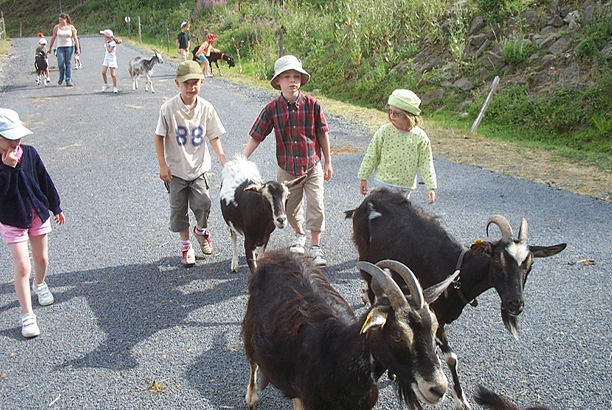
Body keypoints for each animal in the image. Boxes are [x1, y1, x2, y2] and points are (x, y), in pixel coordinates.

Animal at [241, 250, 456, 410]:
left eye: (434, 329)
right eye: (397, 334)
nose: (439, 388)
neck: (338, 356)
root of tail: (276, 253)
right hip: (251, 325)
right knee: (252, 361)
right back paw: (251, 397)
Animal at [346, 189, 568, 410]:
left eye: (529, 265)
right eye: (498, 260)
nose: (516, 304)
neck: (456, 270)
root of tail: (371, 197)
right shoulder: (435, 313)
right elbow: (451, 358)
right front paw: (460, 399)